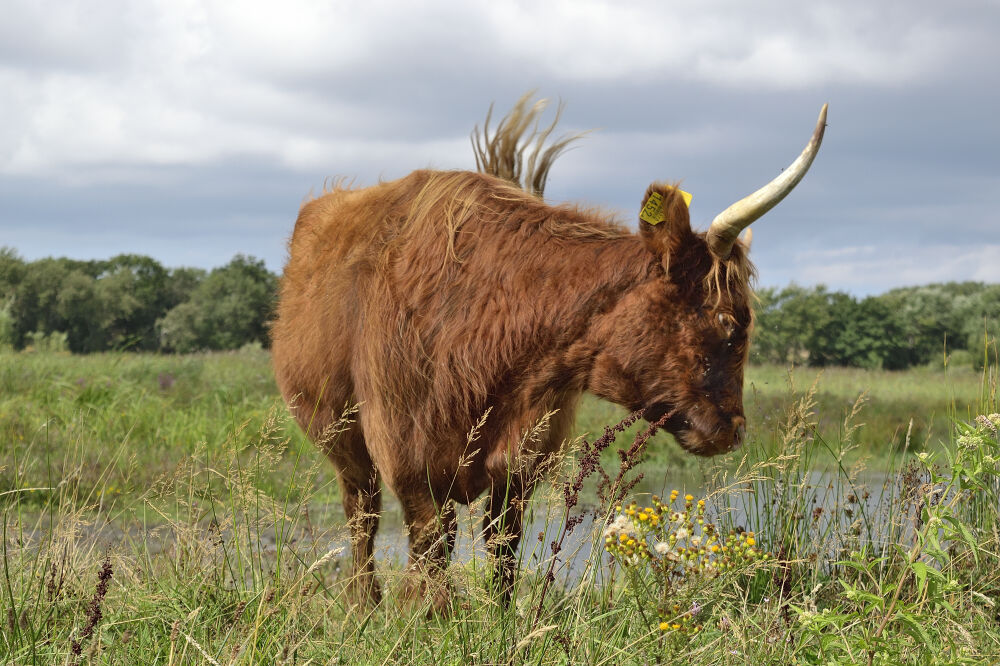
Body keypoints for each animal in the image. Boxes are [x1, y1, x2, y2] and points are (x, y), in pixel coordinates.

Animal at [270, 96, 824, 608]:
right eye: (728, 321)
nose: (735, 429)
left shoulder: (524, 458)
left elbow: (502, 548)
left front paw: (497, 621)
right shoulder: (406, 451)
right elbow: (430, 548)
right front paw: (421, 619)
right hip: (340, 435)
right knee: (361, 514)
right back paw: (364, 604)